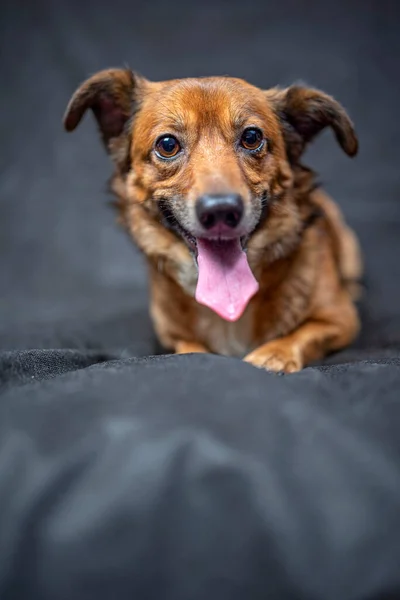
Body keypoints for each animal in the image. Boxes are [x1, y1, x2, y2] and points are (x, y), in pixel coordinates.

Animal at [63, 69, 362, 370]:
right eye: (167, 144)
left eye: (251, 137)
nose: (220, 210)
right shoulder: (173, 336)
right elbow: (190, 349)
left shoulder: (341, 319)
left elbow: (301, 334)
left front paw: (274, 354)